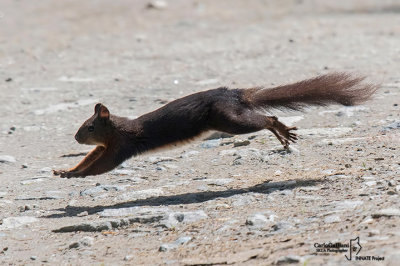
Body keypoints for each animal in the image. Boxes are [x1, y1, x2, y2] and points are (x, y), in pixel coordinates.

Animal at [54, 72, 378, 179]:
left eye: (90, 127)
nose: (76, 138)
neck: (116, 130)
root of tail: (234, 94)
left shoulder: (120, 146)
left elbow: (100, 166)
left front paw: (74, 176)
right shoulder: (105, 147)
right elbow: (88, 160)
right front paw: (65, 170)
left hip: (229, 120)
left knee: (265, 120)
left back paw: (281, 130)